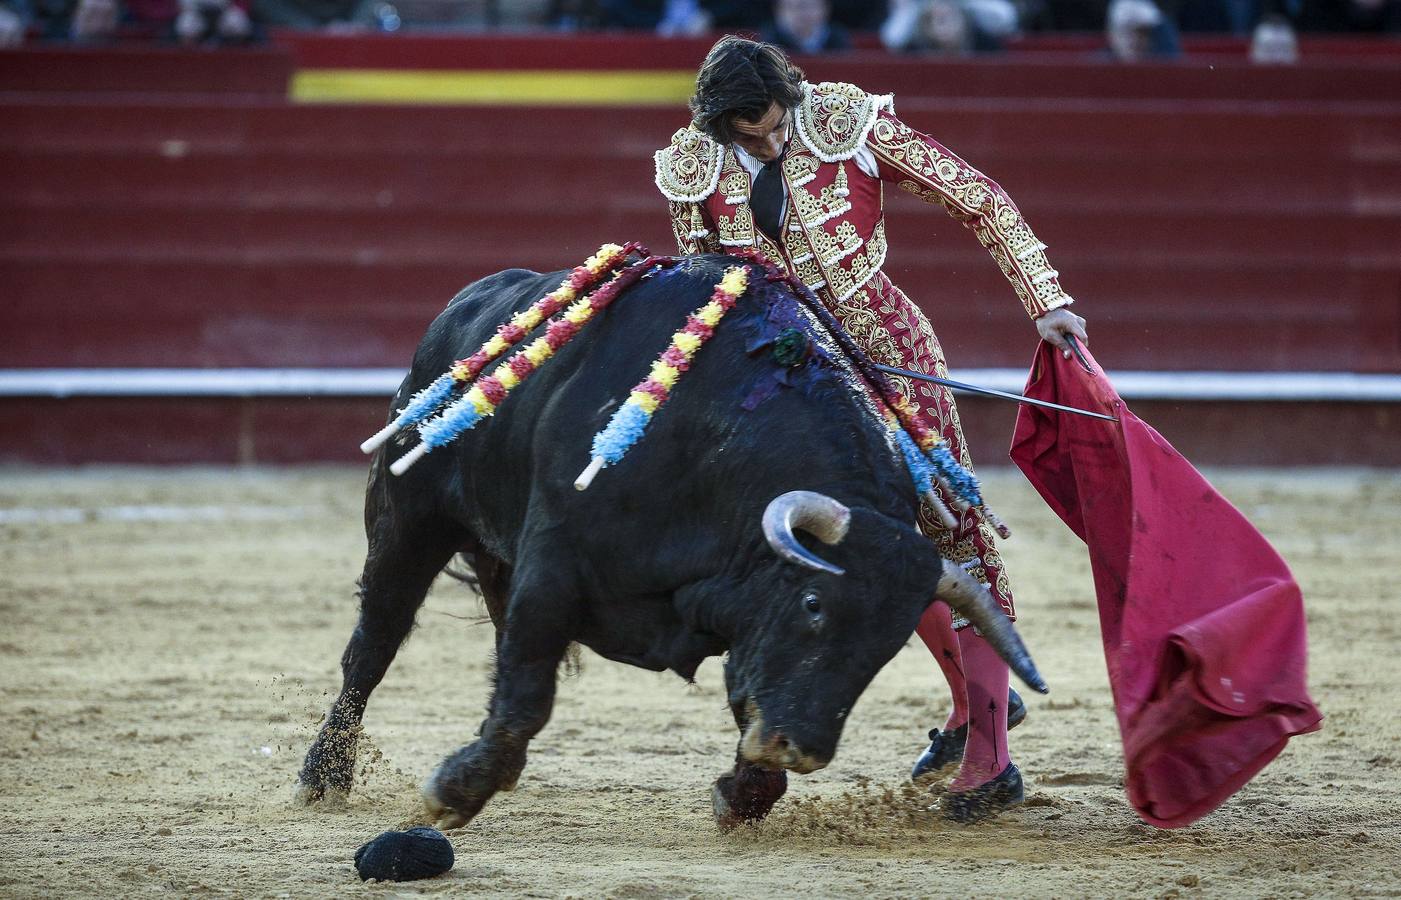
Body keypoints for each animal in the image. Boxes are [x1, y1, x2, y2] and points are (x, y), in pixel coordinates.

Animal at [298, 252, 1042, 829]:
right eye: (813, 605)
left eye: (887, 646)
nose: (799, 748)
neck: (714, 446)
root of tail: (465, 307)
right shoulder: (553, 568)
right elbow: (526, 694)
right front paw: (454, 792)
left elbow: (744, 696)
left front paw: (743, 794)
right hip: (407, 521)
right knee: (373, 646)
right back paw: (322, 773)